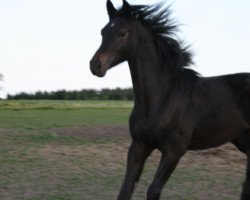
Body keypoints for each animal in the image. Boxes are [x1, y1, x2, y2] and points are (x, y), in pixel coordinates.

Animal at [90, 0, 250, 199]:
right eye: (103, 32)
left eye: (122, 33)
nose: (95, 65)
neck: (162, 97)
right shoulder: (139, 146)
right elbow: (126, 189)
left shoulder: (174, 150)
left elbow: (153, 190)